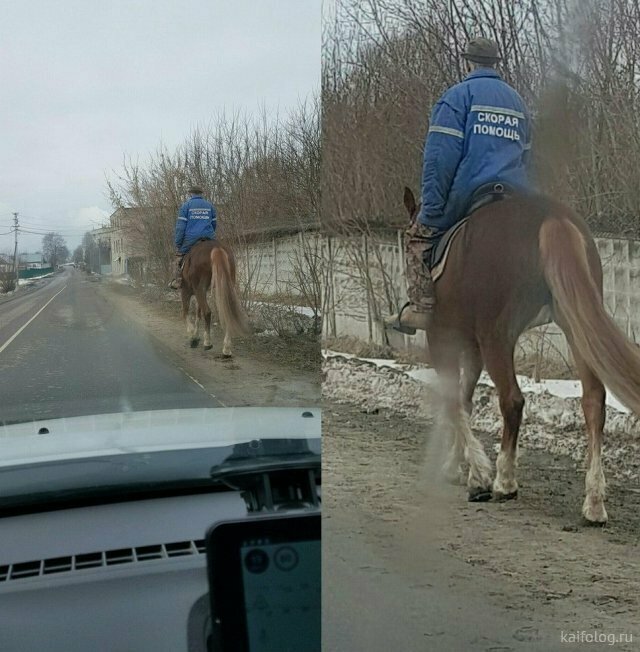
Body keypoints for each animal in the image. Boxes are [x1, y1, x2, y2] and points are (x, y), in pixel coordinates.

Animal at [402, 186, 640, 524]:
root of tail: (550, 217)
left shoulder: (443, 340)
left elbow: (454, 401)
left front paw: (478, 475)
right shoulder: (472, 347)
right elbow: (464, 400)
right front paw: (457, 466)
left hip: (498, 336)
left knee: (512, 399)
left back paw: (504, 480)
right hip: (573, 324)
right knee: (594, 401)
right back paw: (594, 502)